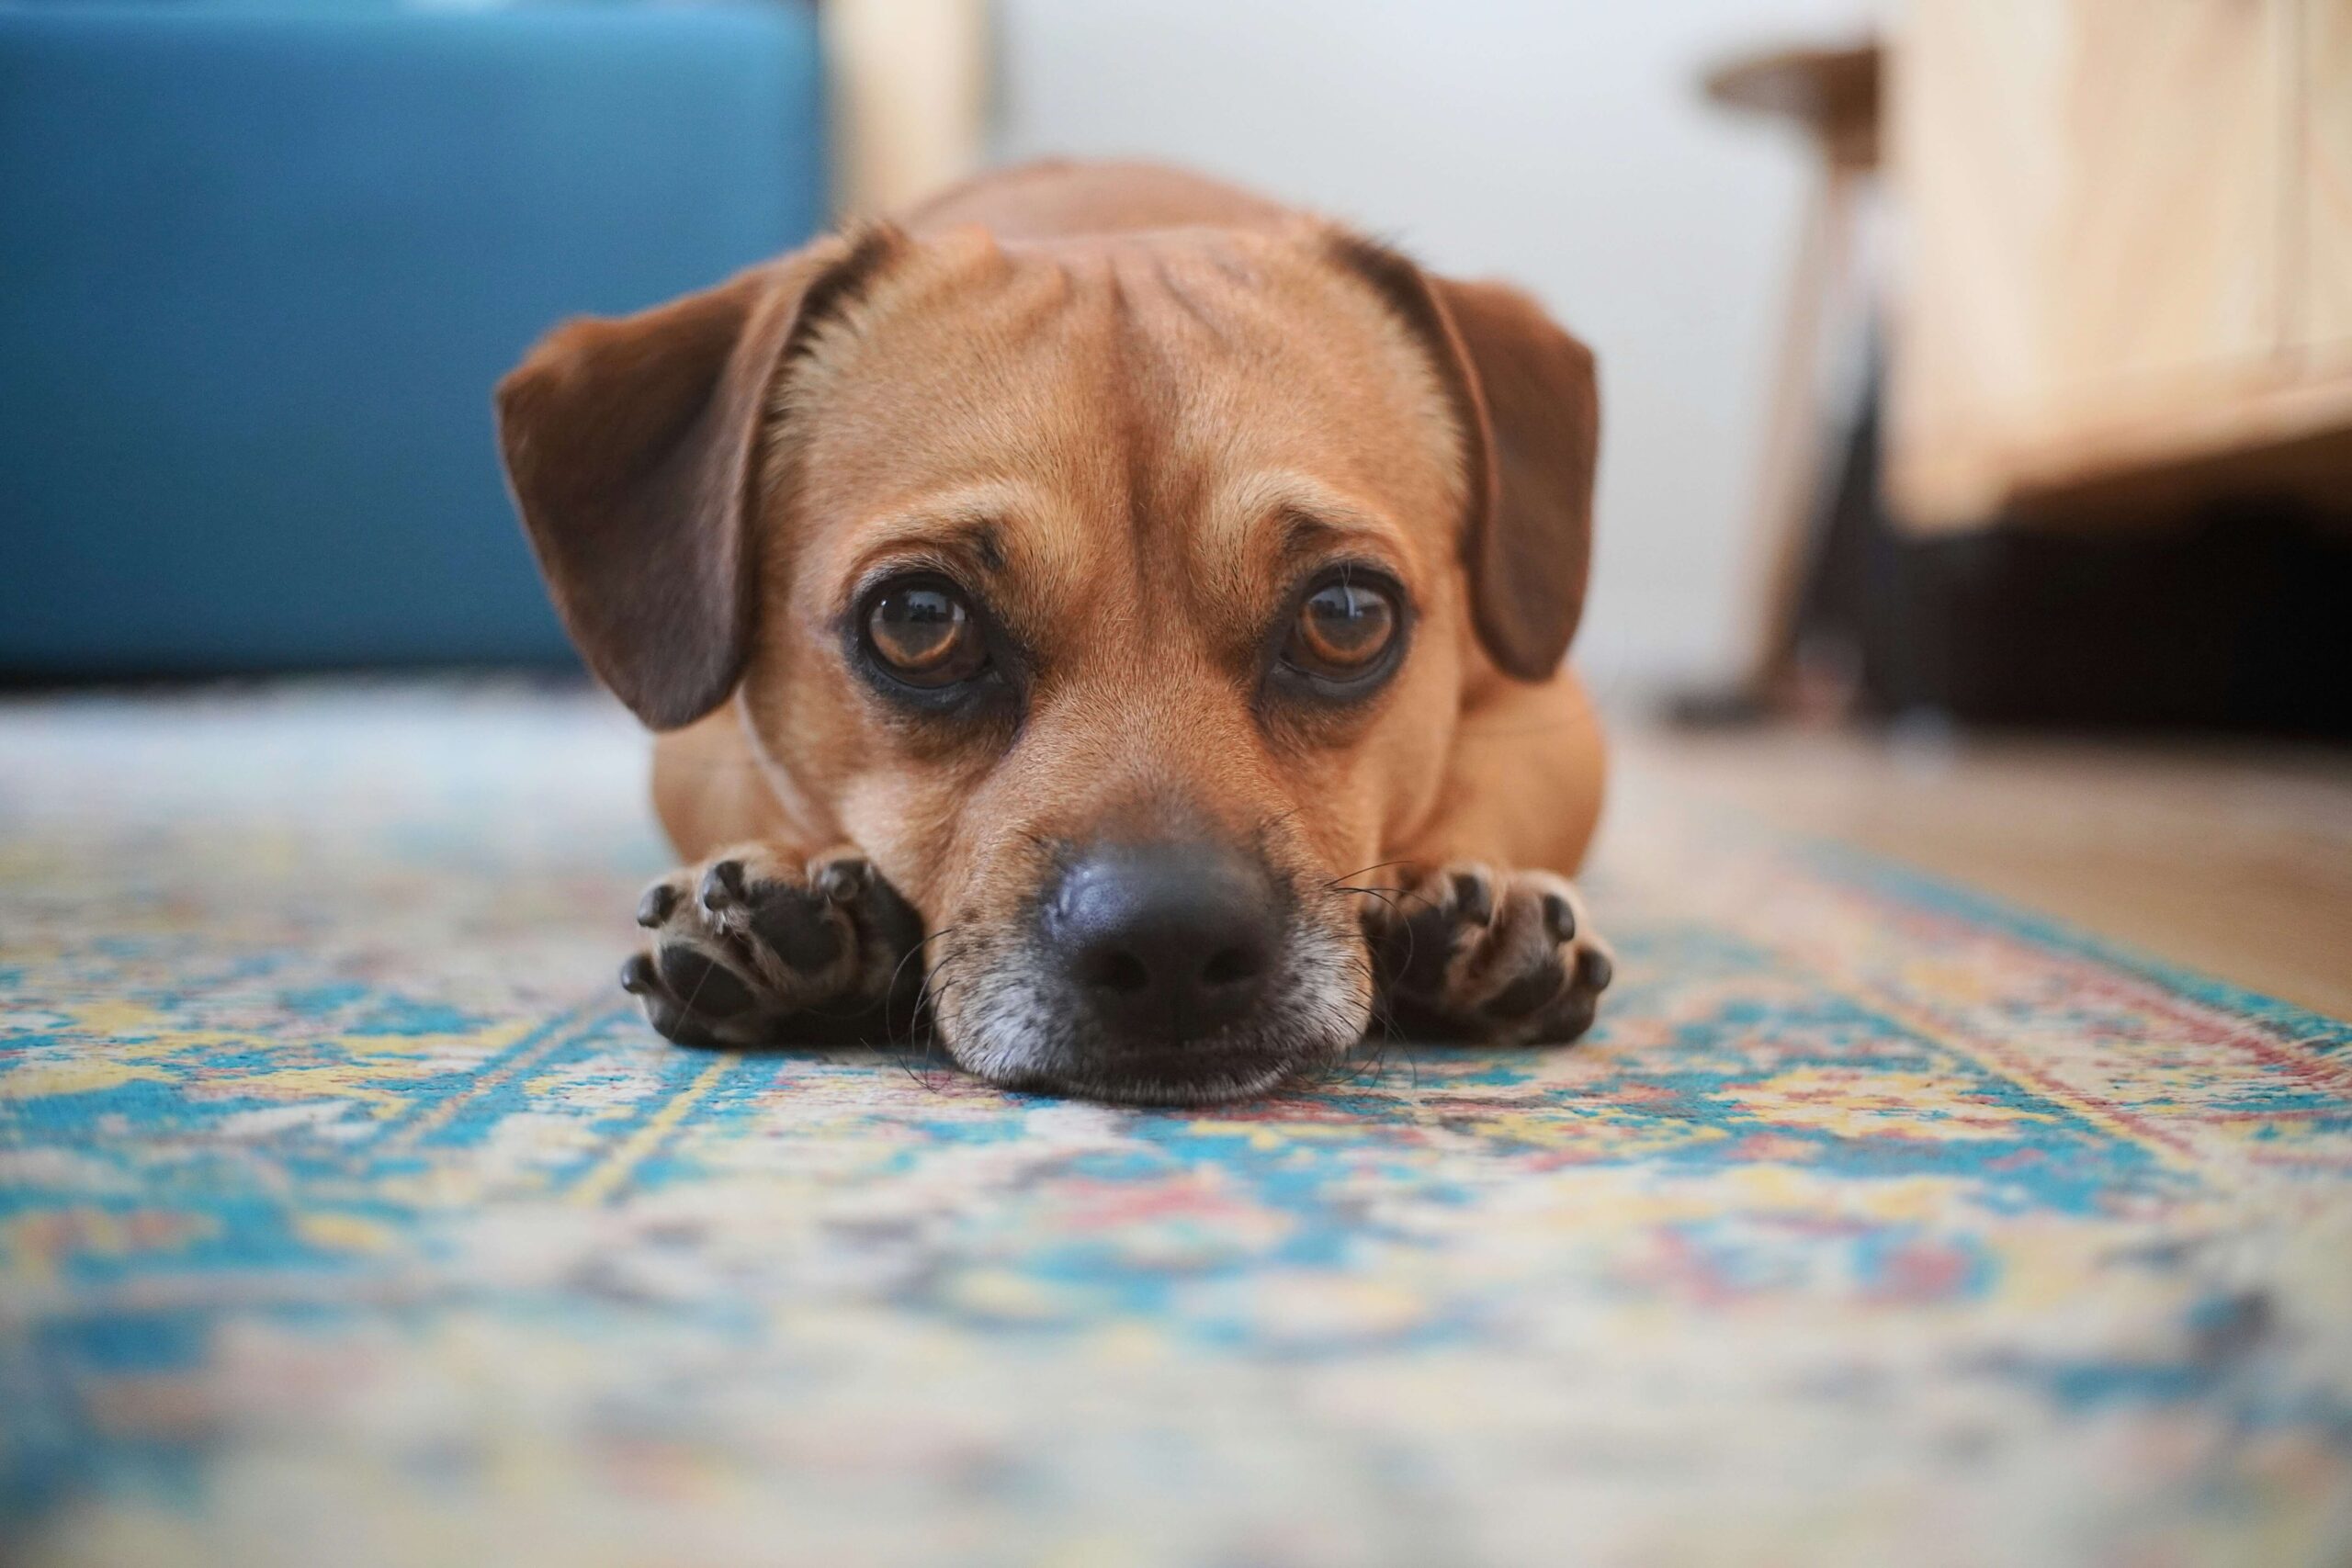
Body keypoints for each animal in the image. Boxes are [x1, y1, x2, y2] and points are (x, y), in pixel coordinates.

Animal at [489, 162, 1609, 1104]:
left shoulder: (1550, 713)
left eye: (1345, 615)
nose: (1174, 947)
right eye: (918, 620)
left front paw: (1469, 899)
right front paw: (787, 893)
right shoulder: (698, 743)